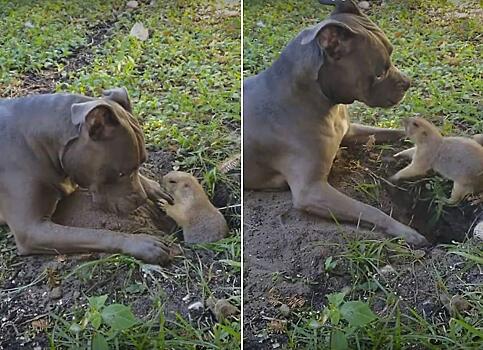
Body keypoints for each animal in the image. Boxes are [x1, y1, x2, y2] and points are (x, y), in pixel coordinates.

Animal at [0, 87, 177, 266]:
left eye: (142, 162)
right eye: (121, 173)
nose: (141, 200)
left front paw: (153, 188)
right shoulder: (31, 230)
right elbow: (96, 233)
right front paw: (141, 243)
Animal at [244, 0, 430, 246]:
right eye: (379, 73)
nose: (407, 83)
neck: (323, 104)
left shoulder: (349, 131)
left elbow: (395, 131)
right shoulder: (312, 190)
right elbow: (369, 210)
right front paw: (407, 232)